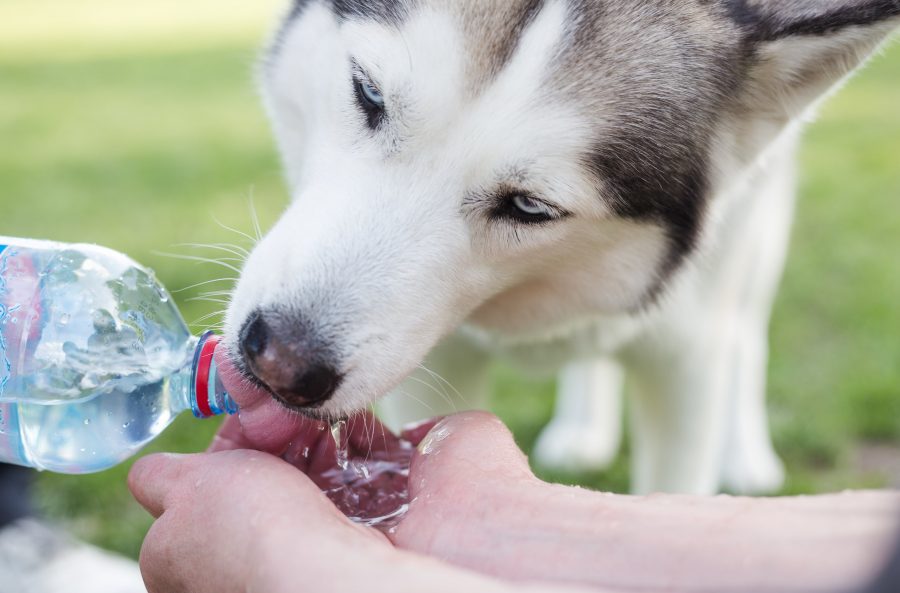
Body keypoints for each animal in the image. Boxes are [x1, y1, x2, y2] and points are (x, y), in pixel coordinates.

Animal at [227, 1, 900, 494]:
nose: (278, 362)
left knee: (748, 333)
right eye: (367, 93)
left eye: (530, 207)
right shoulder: (436, 365)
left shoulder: (685, 363)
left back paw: (746, 452)